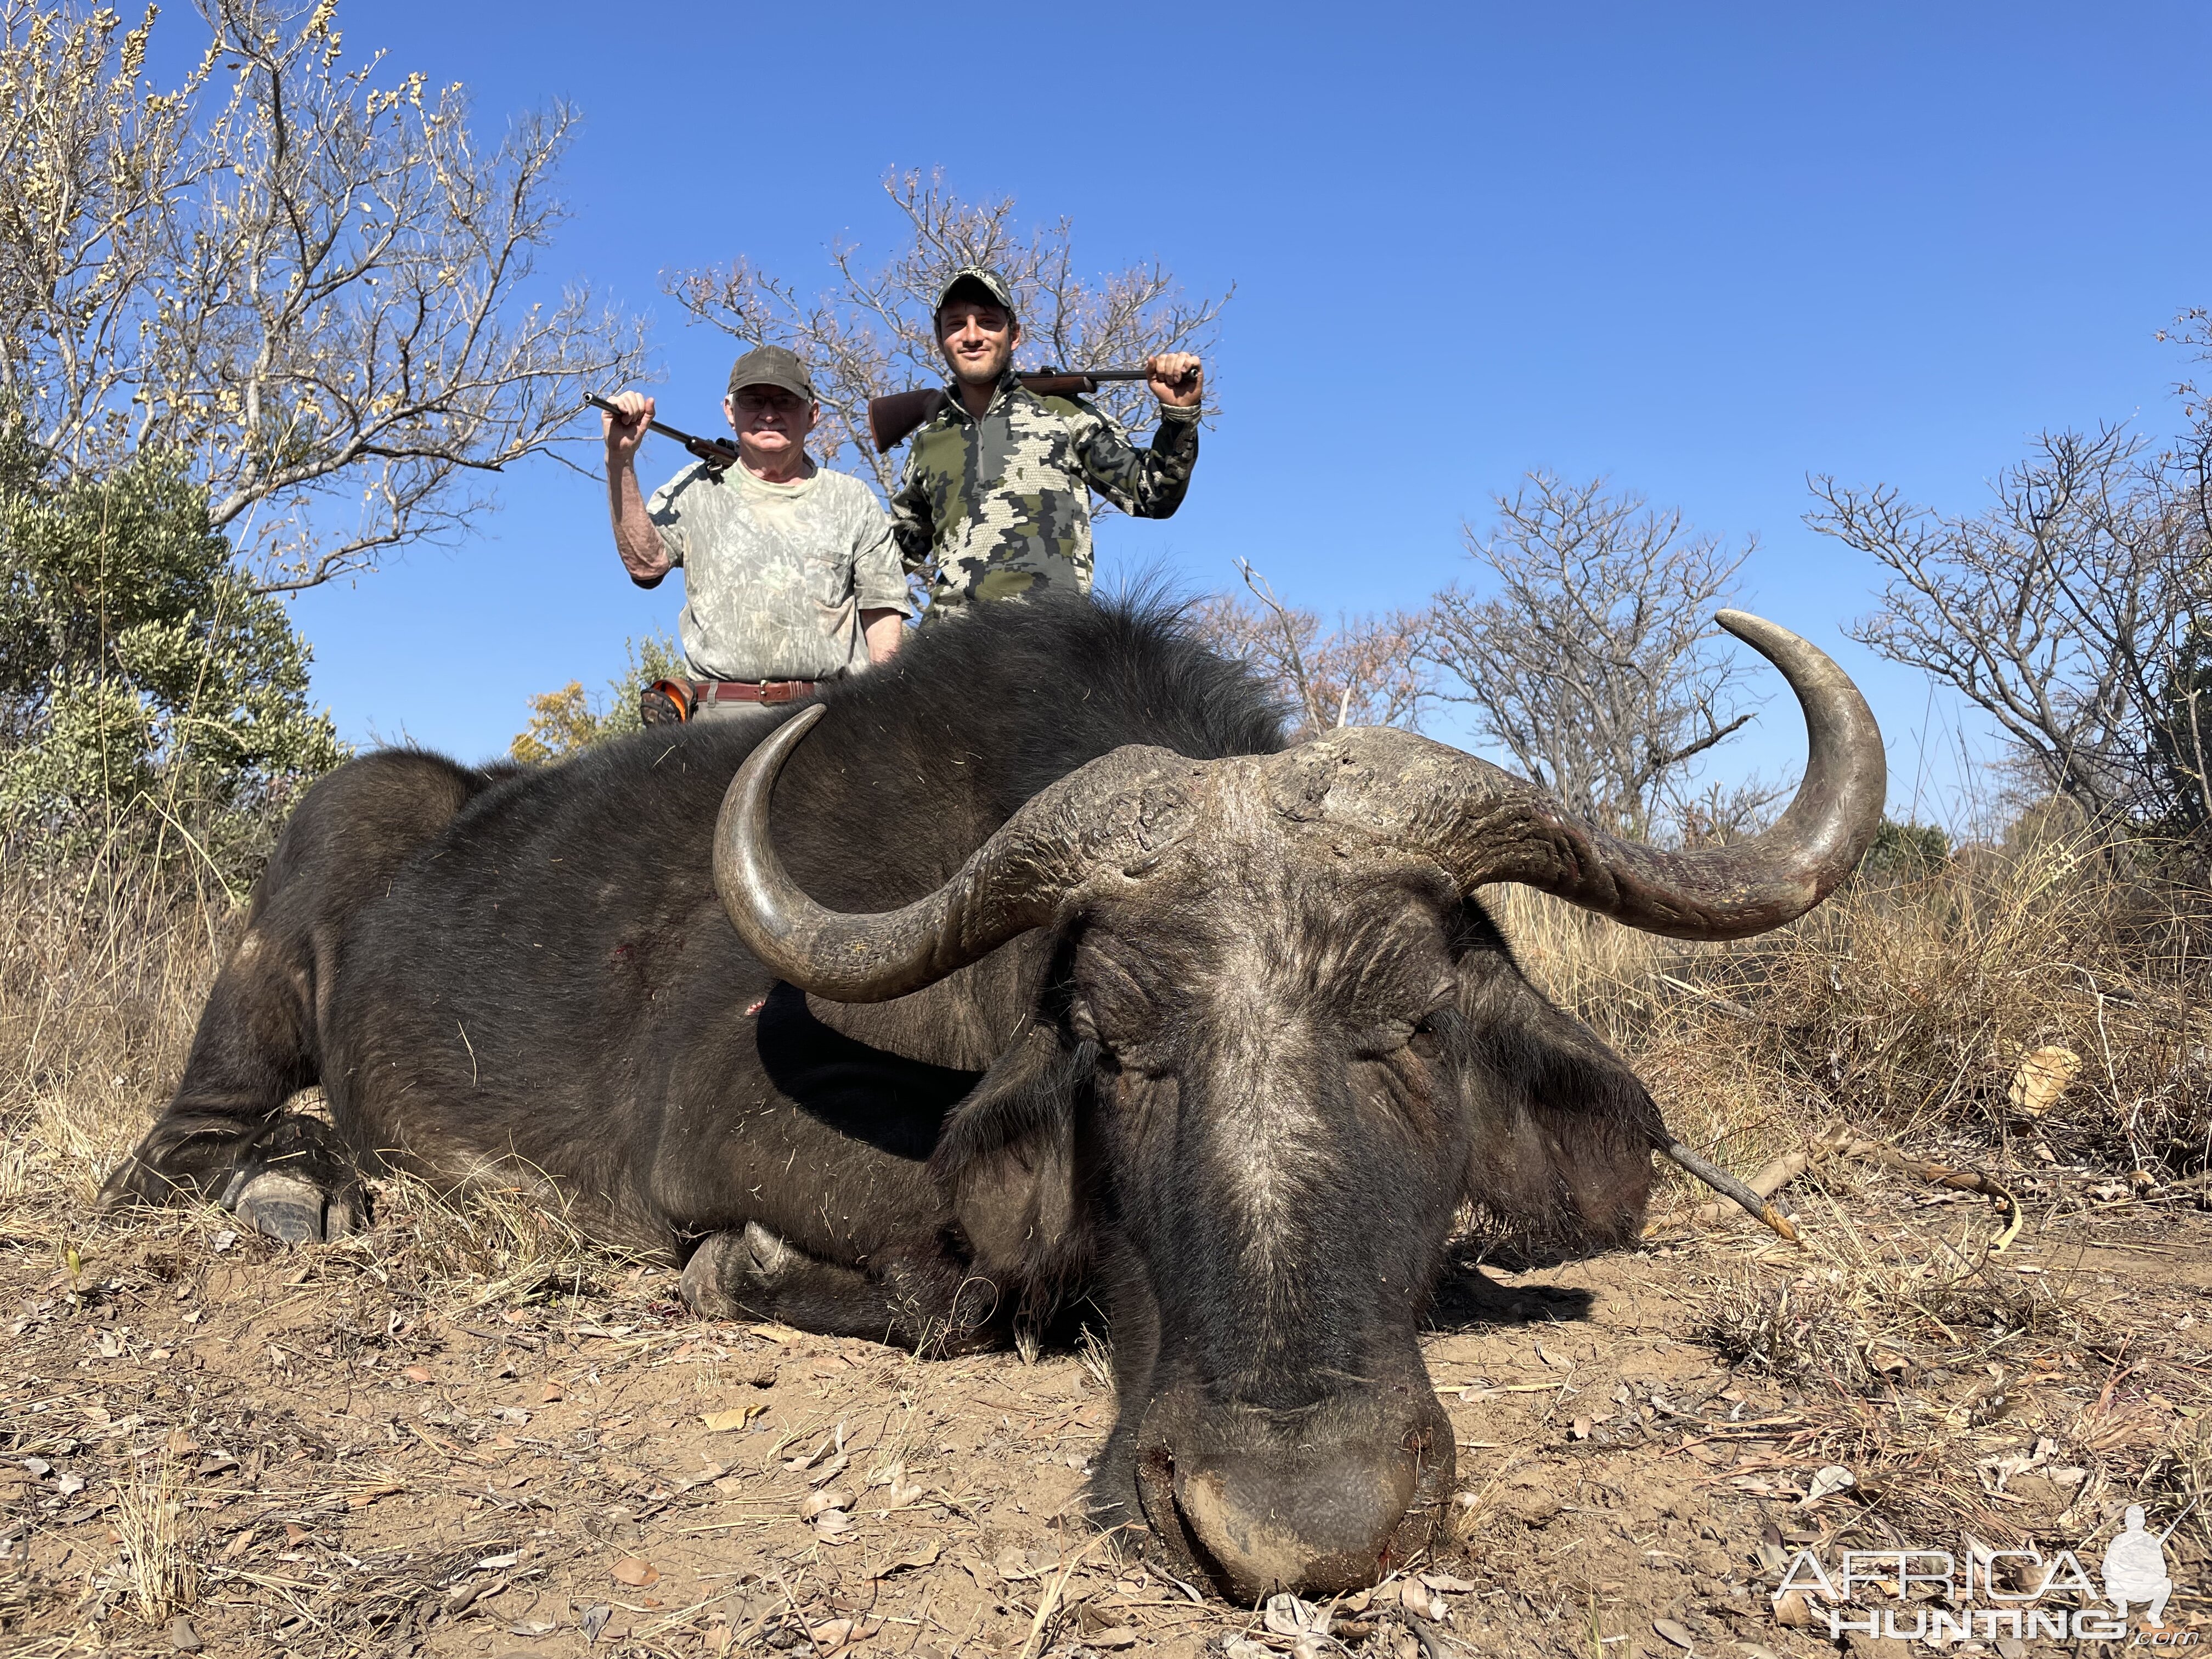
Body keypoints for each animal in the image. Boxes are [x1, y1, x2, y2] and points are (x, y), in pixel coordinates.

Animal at [108, 592, 1884, 1601]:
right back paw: (298, 1185)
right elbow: (957, 1279)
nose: (1299, 1526)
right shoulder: (723, 1138)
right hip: (282, 943)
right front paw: (754, 1268)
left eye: (1414, 1026)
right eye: (1114, 1044)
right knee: (175, 1155)